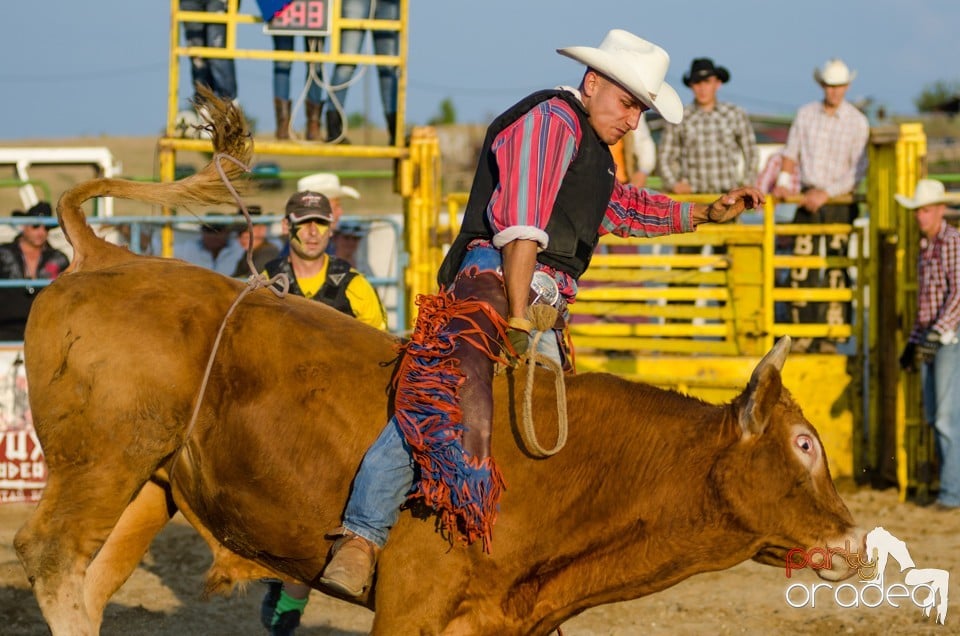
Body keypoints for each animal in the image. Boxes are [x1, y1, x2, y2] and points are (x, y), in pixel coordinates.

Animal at [15, 94, 860, 636]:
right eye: (804, 444)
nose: (854, 542)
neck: (579, 466)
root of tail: (103, 254)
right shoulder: (411, 605)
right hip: (101, 459)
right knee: (50, 563)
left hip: (150, 482)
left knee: (91, 580)